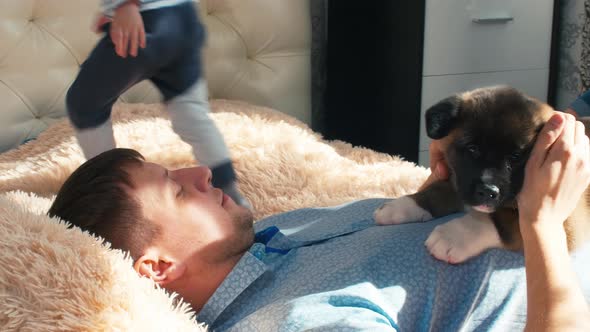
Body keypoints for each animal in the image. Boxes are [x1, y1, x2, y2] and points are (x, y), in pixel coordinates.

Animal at [374, 86, 590, 264]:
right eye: (473, 149)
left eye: (515, 157)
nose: (487, 192)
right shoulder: (459, 180)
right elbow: (437, 190)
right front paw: (403, 205)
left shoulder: (569, 223)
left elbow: (504, 220)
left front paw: (456, 235)